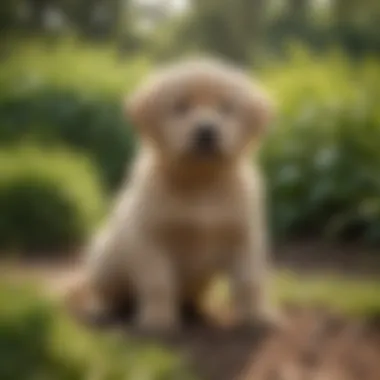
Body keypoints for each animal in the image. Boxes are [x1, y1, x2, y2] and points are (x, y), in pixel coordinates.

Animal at [64, 58, 274, 332]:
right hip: (105, 258)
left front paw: (258, 316)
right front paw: (157, 320)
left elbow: (250, 282)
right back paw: (102, 309)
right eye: (180, 107)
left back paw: (199, 310)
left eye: (225, 108)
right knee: (105, 292)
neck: (201, 183)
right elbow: (158, 283)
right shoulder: (151, 239)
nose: (206, 130)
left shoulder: (244, 238)